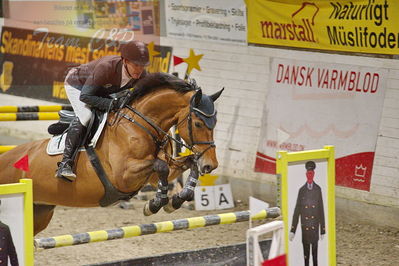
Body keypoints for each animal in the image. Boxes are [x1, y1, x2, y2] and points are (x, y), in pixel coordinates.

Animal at [0, 73, 223, 235]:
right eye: (198, 123)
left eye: (215, 123)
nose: (211, 165)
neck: (141, 124)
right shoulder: (123, 175)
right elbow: (161, 166)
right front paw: (155, 204)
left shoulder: (152, 176)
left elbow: (187, 164)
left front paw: (176, 201)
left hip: (40, 211)